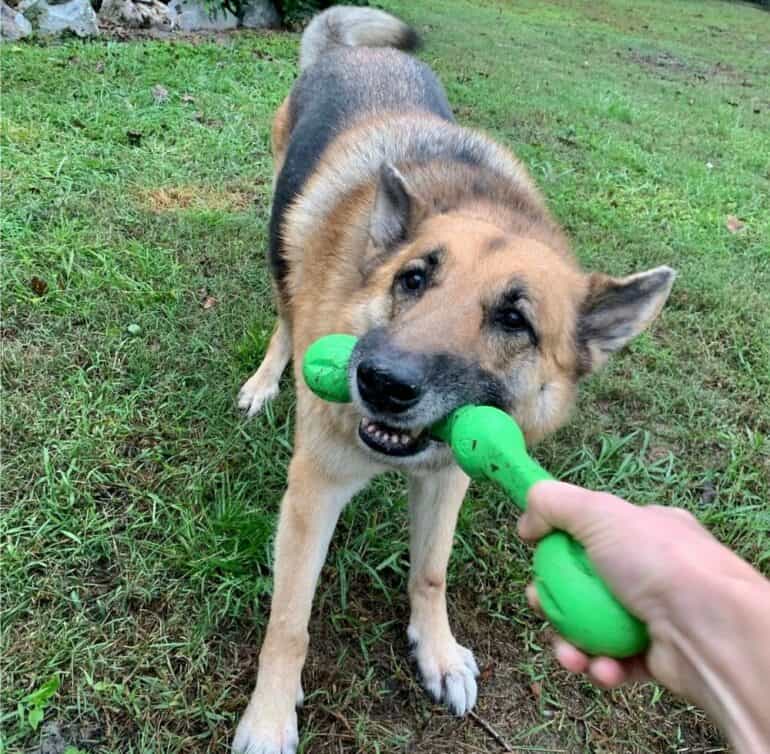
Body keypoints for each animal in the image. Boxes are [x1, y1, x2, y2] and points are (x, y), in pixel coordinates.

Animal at [234, 7, 672, 752]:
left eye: (515, 320)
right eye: (414, 279)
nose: (382, 382)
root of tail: (352, 52)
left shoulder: (447, 477)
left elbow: (432, 573)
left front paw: (436, 652)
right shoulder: (314, 491)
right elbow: (289, 622)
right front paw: (268, 718)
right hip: (279, 235)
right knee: (285, 315)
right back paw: (268, 379)